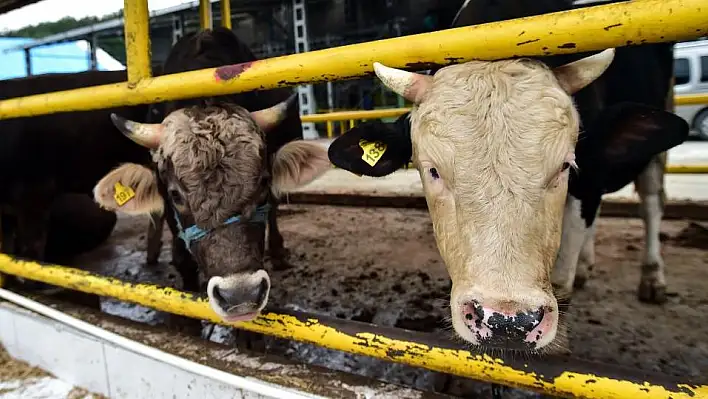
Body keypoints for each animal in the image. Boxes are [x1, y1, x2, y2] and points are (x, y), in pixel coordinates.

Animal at [330, 0, 688, 352]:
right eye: (432, 170)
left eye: (564, 166)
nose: (508, 322)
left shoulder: (586, 181)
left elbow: (562, 280)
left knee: (652, 202)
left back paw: (652, 277)